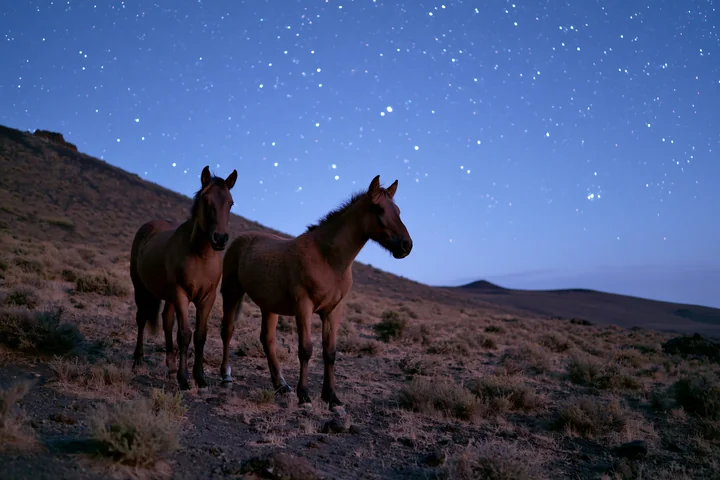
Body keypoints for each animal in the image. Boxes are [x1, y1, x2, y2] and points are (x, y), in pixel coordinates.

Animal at [129, 165, 237, 391]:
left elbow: (200, 335)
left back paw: (170, 365)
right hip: (140, 287)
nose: (220, 239)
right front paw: (184, 379)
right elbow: (185, 334)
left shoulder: (207, 298)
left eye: (231, 203)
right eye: (207, 200)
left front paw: (201, 378)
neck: (200, 255)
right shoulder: (181, 294)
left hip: (168, 296)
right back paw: (138, 359)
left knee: (166, 321)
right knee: (142, 318)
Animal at [219, 175, 413, 414]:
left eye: (398, 210)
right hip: (232, 293)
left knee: (267, 339)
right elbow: (306, 349)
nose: (406, 245)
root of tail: (240, 240)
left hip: (269, 306)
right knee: (227, 330)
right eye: (379, 209)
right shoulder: (304, 306)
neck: (327, 259)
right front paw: (305, 396)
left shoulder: (333, 311)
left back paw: (281, 385)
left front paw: (332, 398)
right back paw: (226, 375)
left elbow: (329, 352)